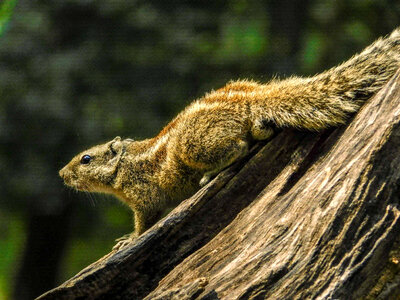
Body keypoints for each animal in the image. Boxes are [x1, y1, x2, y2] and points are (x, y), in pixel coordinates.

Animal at [57, 27, 400, 244]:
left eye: (85, 159)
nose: (61, 174)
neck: (124, 166)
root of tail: (251, 98)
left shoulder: (143, 198)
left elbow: (145, 221)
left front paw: (128, 240)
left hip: (194, 147)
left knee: (239, 147)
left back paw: (210, 174)